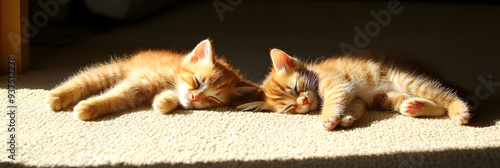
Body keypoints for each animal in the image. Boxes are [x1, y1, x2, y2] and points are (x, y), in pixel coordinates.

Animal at [46, 39, 258, 121]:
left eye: (213, 98)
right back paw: (57, 96)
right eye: (197, 81)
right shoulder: (139, 83)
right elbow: (116, 96)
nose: (195, 98)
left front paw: (165, 101)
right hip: (111, 72)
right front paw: (89, 106)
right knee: (83, 78)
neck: (172, 78)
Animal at [238, 49, 468, 131]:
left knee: (446, 95)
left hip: (406, 79)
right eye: (289, 108)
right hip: (383, 97)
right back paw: (414, 106)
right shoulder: (357, 96)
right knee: (432, 105)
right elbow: (354, 105)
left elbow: (333, 101)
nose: (303, 102)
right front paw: (348, 117)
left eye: (297, 88)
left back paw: (459, 110)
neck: (316, 73)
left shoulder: (337, 83)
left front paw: (329, 117)